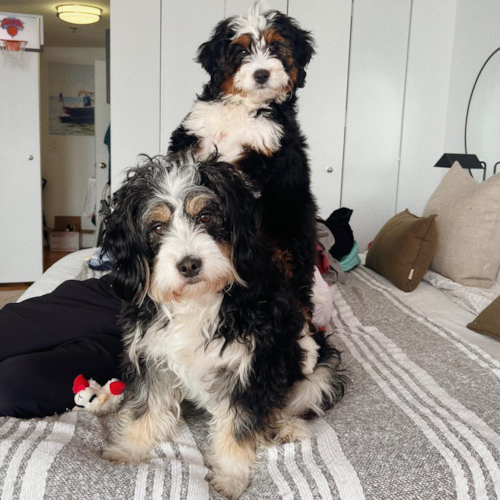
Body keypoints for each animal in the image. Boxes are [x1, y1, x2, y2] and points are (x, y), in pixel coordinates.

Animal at [99, 154, 346, 498]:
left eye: (205, 216)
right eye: (158, 227)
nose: (189, 265)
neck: (197, 300)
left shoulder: (247, 368)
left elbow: (237, 427)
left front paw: (231, 476)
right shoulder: (152, 356)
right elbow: (145, 407)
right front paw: (128, 449)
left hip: (319, 368)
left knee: (282, 404)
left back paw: (284, 427)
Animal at [168, 2, 316, 324]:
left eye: (275, 47)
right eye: (241, 51)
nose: (261, 74)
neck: (243, 107)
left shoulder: (263, 158)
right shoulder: (193, 136)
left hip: (291, 238)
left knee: (299, 289)